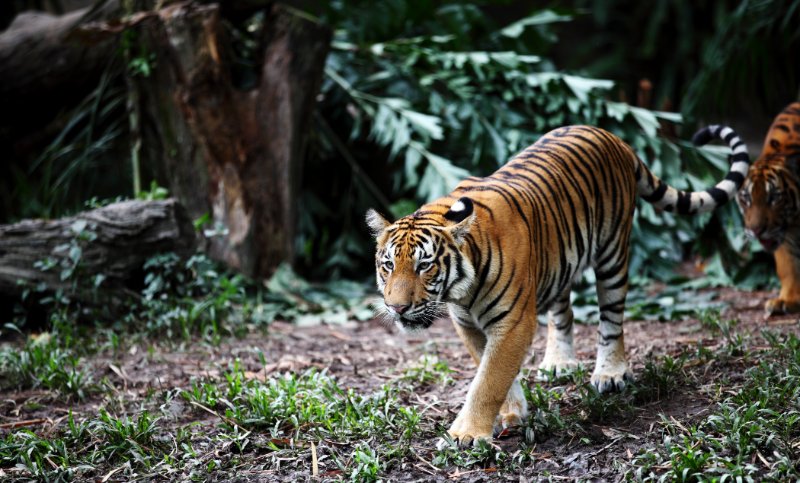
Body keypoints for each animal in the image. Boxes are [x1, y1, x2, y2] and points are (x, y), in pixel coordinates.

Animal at [368, 125, 752, 446]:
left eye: (424, 265)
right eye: (388, 266)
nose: (396, 307)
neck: (461, 290)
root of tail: (612, 137)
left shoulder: (513, 323)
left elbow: (489, 379)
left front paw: (467, 434)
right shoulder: (468, 324)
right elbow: (489, 370)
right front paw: (513, 412)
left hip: (613, 253)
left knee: (612, 319)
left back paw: (610, 373)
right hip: (559, 263)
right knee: (563, 311)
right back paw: (559, 362)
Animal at [736, 101, 800, 314]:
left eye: (774, 197)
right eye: (746, 198)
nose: (756, 231)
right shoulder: (783, 234)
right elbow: (788, 266)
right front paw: (788, 300)